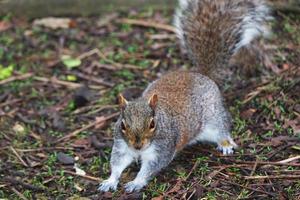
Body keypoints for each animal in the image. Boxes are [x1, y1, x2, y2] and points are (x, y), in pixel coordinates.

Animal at [98, 0, 270, 193]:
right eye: (123, 124)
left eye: (152, 124)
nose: (137, 145)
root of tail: (202, 75)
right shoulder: (122, 145)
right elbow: (117, 163)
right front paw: (110, 180)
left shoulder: (162, 149)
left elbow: (150, 168)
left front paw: (136, 182)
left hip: (213, 118)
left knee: (222, 128)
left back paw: (225, 143)